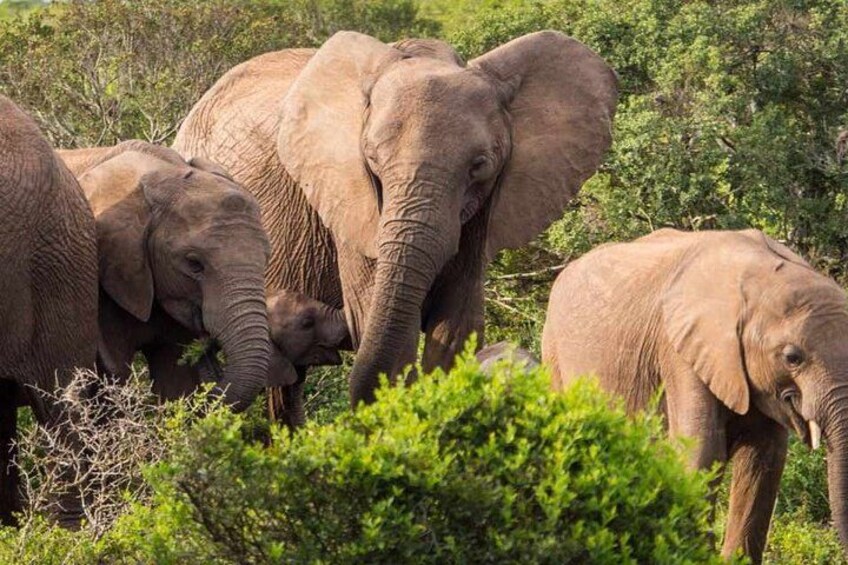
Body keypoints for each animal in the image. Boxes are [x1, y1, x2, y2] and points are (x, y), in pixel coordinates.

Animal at [172, 30, 617, 407]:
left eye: (479, 166)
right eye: (371, 159)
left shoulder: (486, 211)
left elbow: (456, 328)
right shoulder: (350, 205)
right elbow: (380, 319)